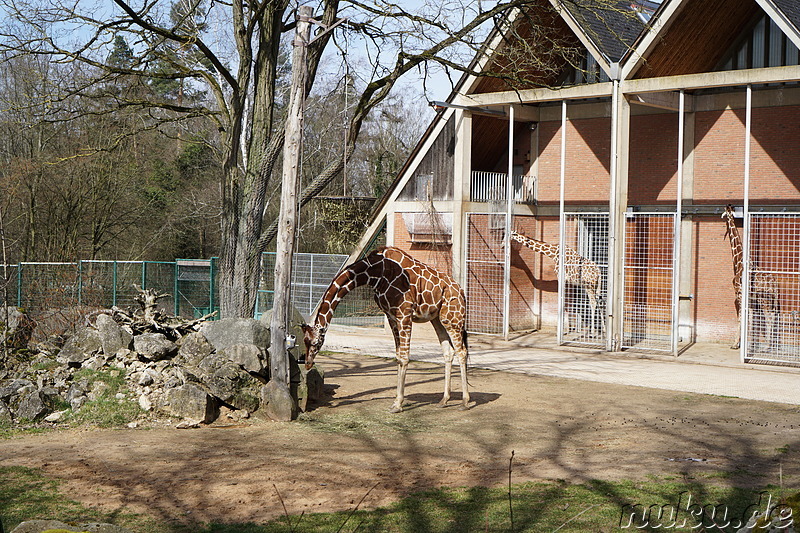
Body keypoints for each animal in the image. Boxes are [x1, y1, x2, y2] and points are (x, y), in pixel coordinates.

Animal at [304, 247, 472, 414]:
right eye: (305, 341)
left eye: (317, 342)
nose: (307, 364)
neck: (376, 273)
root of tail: (462, 292)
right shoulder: (391, 315)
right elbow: (398, 356)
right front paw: (396, 401)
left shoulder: (404, 314)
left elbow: (404, 357)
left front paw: (398, 404)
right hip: (437, 319)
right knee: (448, 352)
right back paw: (444, 400)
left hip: (452, 318)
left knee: (462, 351)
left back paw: (465, 401)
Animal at [720, 204, 780, 350]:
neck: (739, 261)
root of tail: (775, 285)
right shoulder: (751, 299)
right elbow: (751, 318)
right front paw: (750, 344)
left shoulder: (739, 294)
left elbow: (741, 317)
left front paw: (736, 344)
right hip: (770, 300)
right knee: (773, 316)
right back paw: (770, 345)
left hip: (764, 299)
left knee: (768, 317)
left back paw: (767, 346)